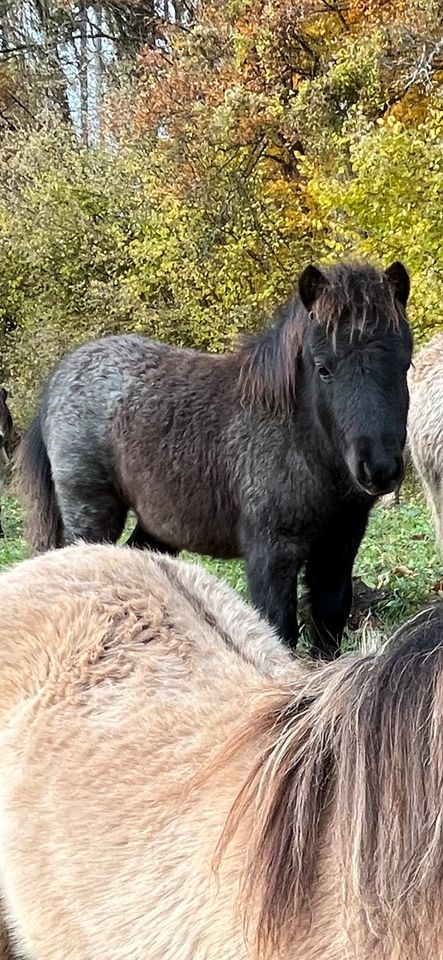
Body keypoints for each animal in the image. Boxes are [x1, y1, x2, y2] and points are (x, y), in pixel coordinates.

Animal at [15, 258, 414, 656]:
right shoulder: (271, 554)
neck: (301, 439)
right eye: (324, 368)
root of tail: (59, 379)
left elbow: (328, 624)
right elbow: (279, 629)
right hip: (90, 513)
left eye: (404, 364)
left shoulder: (339, 548)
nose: (379, 468)